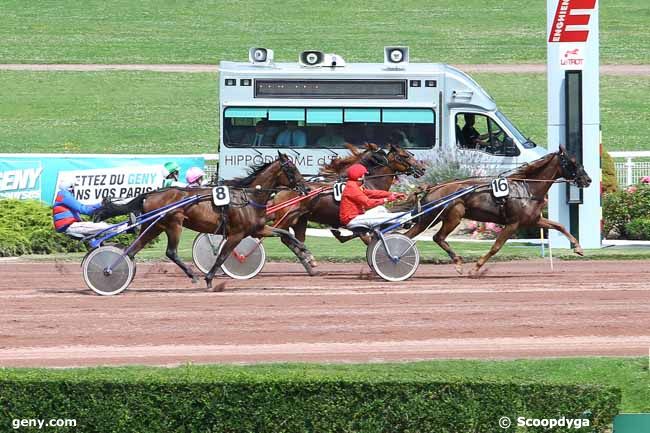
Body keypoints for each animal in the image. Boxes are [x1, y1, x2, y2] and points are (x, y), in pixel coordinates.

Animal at [96, 154, 308, 288]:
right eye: (291, 168)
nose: (305, 188)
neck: (248, 197)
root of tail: (150, 194)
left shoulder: (257, 229)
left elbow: (284, 232)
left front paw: (305, 252)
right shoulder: (237, 234)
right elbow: (222, 256)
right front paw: (209, 279)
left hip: (155, 226)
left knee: (132, 250)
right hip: (174, 224)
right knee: (170, 252)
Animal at [268, 142, 426, 270]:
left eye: (410, 154)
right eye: (405, 156)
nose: (422, 168)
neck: (367, 183)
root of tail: (281, 189)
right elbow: (371, 240)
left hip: (300, 219)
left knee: (291, 238)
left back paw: (309, 260)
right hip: (286, 217)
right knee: (276, 232)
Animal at [394, 145, 588, 274]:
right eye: (572, 162)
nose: (588, 180)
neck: (527, 188)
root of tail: (433, 187)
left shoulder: (533, 219)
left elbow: (559, 226)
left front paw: (578, 248)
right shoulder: (513, 223)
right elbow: (496, 246)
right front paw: (476, 268)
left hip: (428, 218)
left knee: (409, 236)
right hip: (453, 216)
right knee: (438, 237)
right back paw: (457, 262)